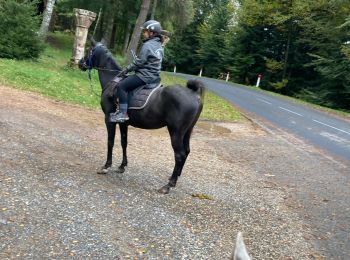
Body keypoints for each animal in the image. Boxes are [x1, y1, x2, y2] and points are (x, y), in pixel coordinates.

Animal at [78, 40, 205, 194]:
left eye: (89, 50)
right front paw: (122, 166)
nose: (80, 63)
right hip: (187, 132)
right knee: (186, 152)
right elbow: (124, 142)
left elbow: (110, 142)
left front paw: (106, 166)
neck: (112, 81)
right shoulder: (124, 123)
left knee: (179, 155)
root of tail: (194, 94)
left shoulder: (109, 119)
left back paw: (168, 185)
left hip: (176, 132)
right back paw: (174, 178)